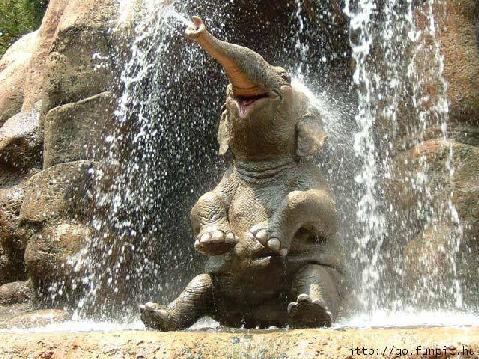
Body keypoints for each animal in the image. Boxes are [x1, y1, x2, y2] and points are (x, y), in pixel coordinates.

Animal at [139, 17, 344, 332]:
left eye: (285, 77)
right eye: (226, 93)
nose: (196, 27)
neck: (262, 164)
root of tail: (259, 318)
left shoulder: (309, 173)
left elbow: (324, 210)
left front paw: (265, 238)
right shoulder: (228, 180)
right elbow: (204, 199)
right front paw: (215, 240)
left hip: (320, 273)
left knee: (315, 275)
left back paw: (308, 312)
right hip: (216, 286)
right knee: (198, 285)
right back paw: (155, 314)